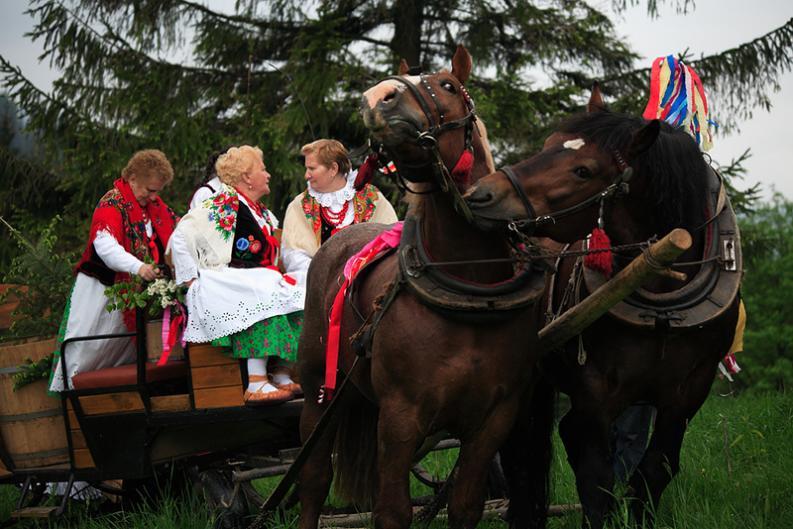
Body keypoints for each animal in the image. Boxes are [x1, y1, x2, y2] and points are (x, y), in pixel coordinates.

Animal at [296, 45, 552, 528]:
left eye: (448, 86)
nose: (378, 96)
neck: (469, 288)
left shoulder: (494, 419)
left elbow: (465, 504)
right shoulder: (400, 417)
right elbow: (393, 512)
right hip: (319, 390)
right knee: (314, 477)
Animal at [464, 87, 744, 528]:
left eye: (583, 171)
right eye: (547, 143)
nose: (481, 195)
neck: (660, 285)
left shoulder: (689, 391)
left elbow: (654, 470)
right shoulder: (594, 389)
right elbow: (596, 479)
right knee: (521, 457)